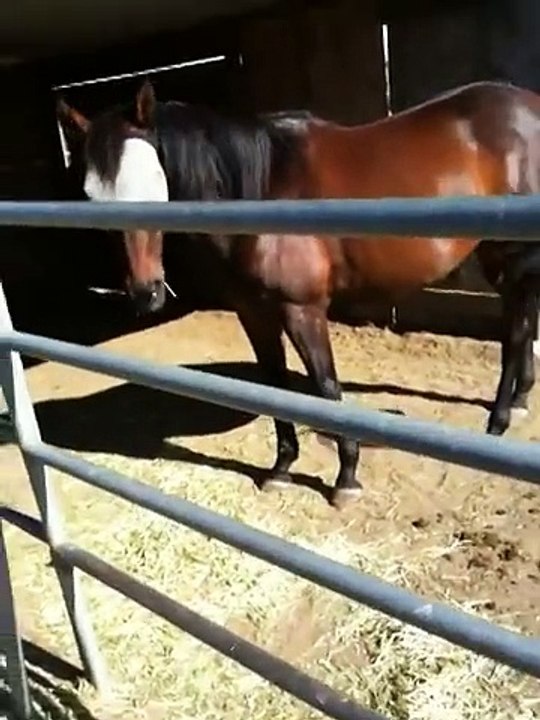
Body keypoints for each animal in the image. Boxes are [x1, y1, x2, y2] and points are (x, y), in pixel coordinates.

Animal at [57, 79, 540, 508]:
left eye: (153, 183)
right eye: (91, 198)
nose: (145, 293)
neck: (261, 191)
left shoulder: (302, 310)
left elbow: (326, 389)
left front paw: (346, 479)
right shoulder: (253, 311)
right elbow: (275, 385)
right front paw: (281, 470)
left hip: (513, 255)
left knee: (516, 328)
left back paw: (498, 421)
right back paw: (519, 401)